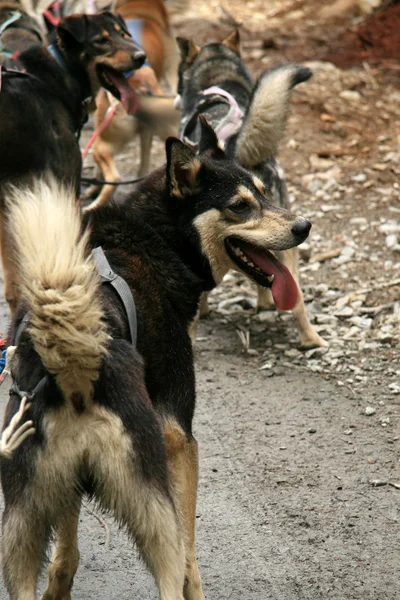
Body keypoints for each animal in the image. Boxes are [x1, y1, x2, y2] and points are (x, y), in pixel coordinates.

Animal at [0, 10, 145, 314]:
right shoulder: (64, 188)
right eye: (100, 41)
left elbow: (12, 283)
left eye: (123, 34)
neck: (60, 74)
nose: (141, 57)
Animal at [0, 119, 310, 596]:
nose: (303, 225)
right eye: (239, 207)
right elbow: (191, 561)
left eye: (263, 192)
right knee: (172, 571)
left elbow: (66, 557)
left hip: (19, 529)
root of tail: (75, 372)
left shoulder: (69, 491)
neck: (155, 238)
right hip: (154, 510)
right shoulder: (179, 438)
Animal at [177, 30, 326, 350]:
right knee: (295, 295)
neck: (218, 77)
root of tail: (236, 146)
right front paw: (265, 302)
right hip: (287, 242)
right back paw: (309, 339)